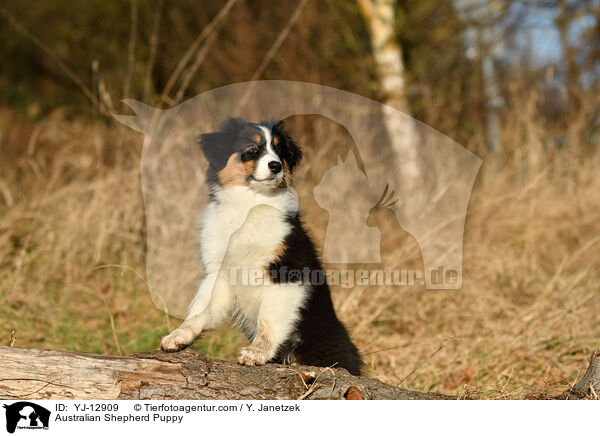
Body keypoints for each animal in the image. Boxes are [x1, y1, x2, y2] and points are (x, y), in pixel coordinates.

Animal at [159, 117, 364, 376]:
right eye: (252, 148)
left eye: (279, 150)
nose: (276, 166)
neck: (250, 204)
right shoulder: (221, 272)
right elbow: (199, 311)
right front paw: (179, 335)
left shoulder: (287, 272)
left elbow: (269, 319)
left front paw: (256, 353)